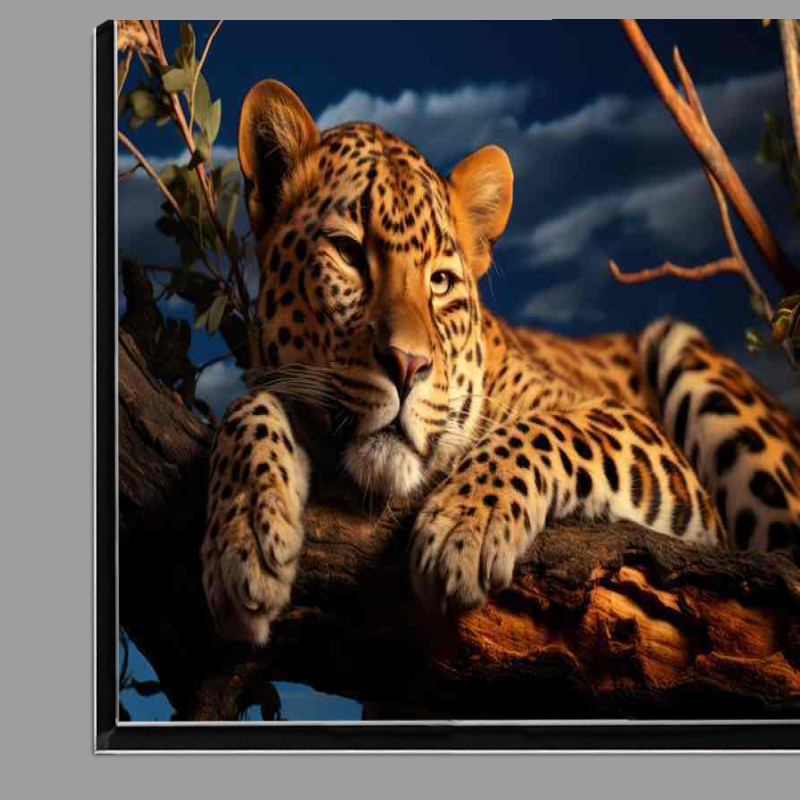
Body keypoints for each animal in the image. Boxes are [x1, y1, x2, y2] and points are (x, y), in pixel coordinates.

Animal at [201, 79, 800, 645]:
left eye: (441, 281)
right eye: (348, 254)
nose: (407, 365)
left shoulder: (652, 452)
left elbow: (549, 429)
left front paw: (466, 521)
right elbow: (248, 403)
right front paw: (243, 532)